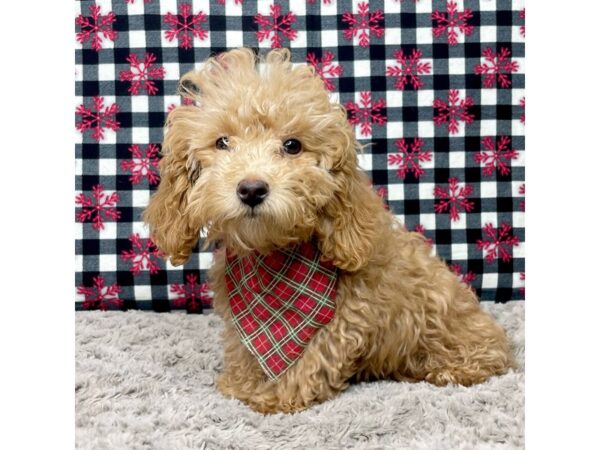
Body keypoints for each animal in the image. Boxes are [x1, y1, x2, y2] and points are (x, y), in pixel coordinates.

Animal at [143, 47, 512, 414]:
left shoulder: (344, 316)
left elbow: (312, 355)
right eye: (222, 142)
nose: (251, 189)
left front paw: (275, 397)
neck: (270, 257)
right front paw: (241, 382)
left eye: (292, 146)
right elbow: (243, 345)